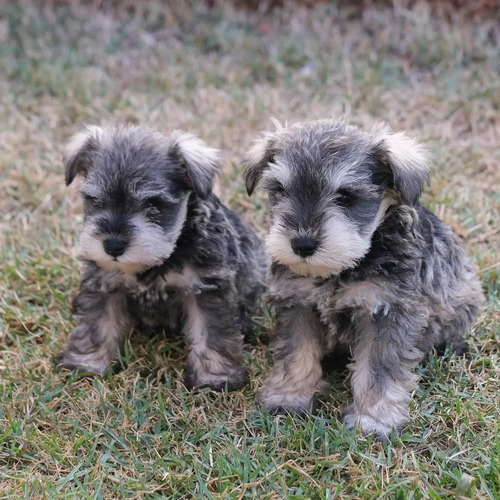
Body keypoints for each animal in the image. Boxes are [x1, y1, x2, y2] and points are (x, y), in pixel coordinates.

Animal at [58, 125, 268, 390]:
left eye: (154, 203)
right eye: (93, 199)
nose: (113, 245)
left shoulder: (207, 289)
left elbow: (211, 333)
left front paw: (215, 378)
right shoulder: (104, 283)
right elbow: (97, 324)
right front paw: (88, 364)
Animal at [244, 119, 482, 440]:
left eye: (346, 196)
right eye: (280, 190)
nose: (302, 245)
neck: (341, 270)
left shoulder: (387, 312)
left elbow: (377, 368)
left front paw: (373, 419)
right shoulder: (298, 303)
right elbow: (296, 351)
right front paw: (289, 396)